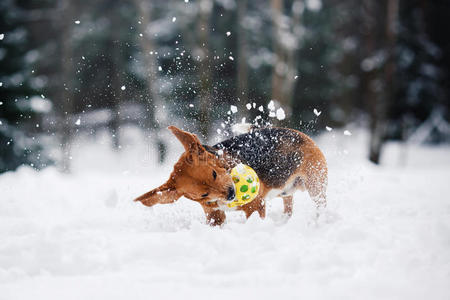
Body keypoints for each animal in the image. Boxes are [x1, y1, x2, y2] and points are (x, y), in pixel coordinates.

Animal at [134, 124, 326, 225]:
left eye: (213, 174)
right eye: (203, 194)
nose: (231, 194)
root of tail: (298, 134)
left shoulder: (255, 206)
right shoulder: (214, 215)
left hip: (316, 185)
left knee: (319, 205)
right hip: (284, 190)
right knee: (288, 204)